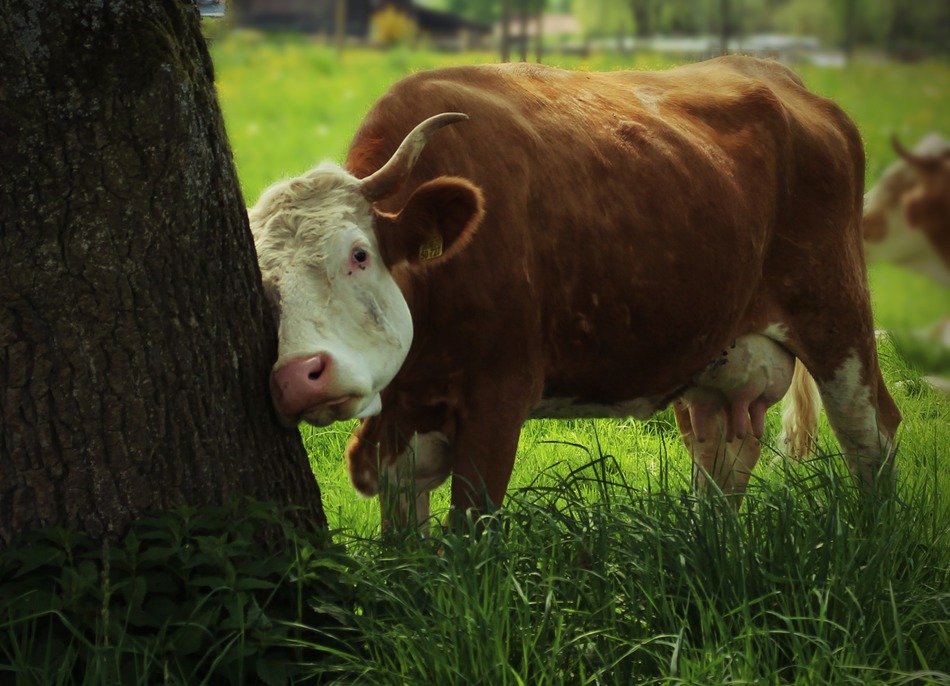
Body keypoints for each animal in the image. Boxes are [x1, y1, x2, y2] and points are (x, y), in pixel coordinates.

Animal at [249, 56, 900, 529]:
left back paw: (877, 550)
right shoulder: (400, 430)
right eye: (265, 289)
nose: (300, 377)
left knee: (871, 435)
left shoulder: (499, 396)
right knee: (723, 458)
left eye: (359, 254)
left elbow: (470, 533)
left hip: (837, 315)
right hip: (717, 357)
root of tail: (785, 81)